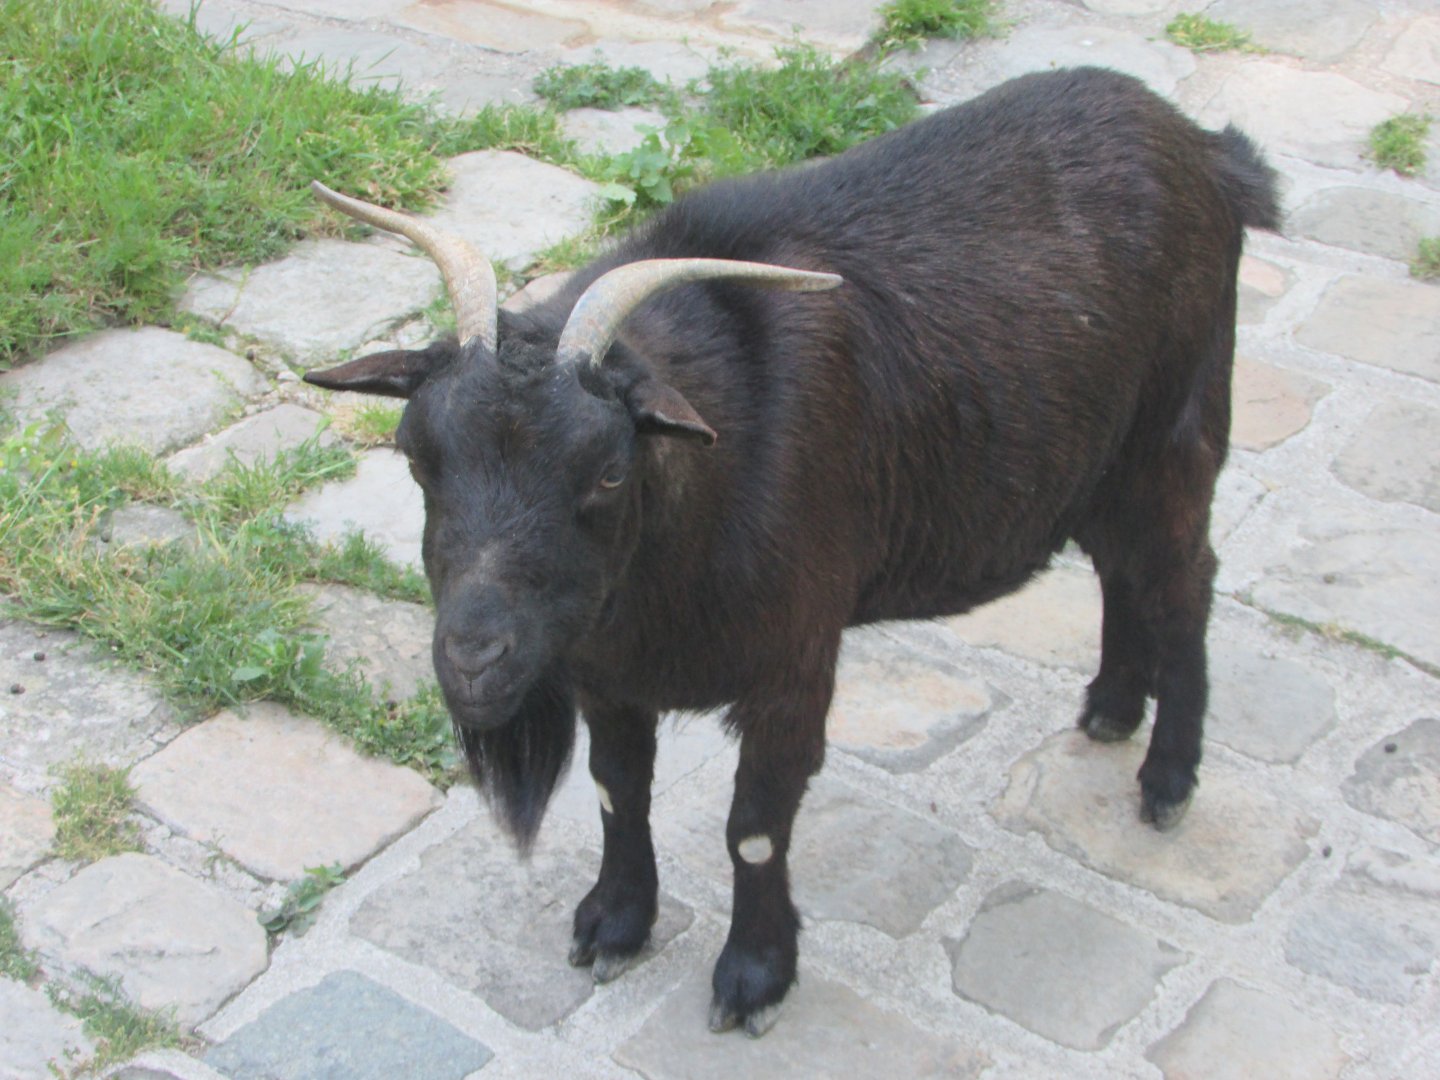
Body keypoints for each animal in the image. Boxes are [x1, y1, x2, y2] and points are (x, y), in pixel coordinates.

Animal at [303, 67, 1280, 1037]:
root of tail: (1210, 152)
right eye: (416, 454)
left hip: (1176, 436)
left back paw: (1167, 778)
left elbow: (755, 827)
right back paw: (1112, 708)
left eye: (609, 471)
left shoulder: (794, 664)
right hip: (1097, 467)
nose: (474, 658)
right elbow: (619, 790)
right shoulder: (606, 676)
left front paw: (754, 976)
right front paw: (614, 923)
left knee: (1184, 582)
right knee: (1124, 571)